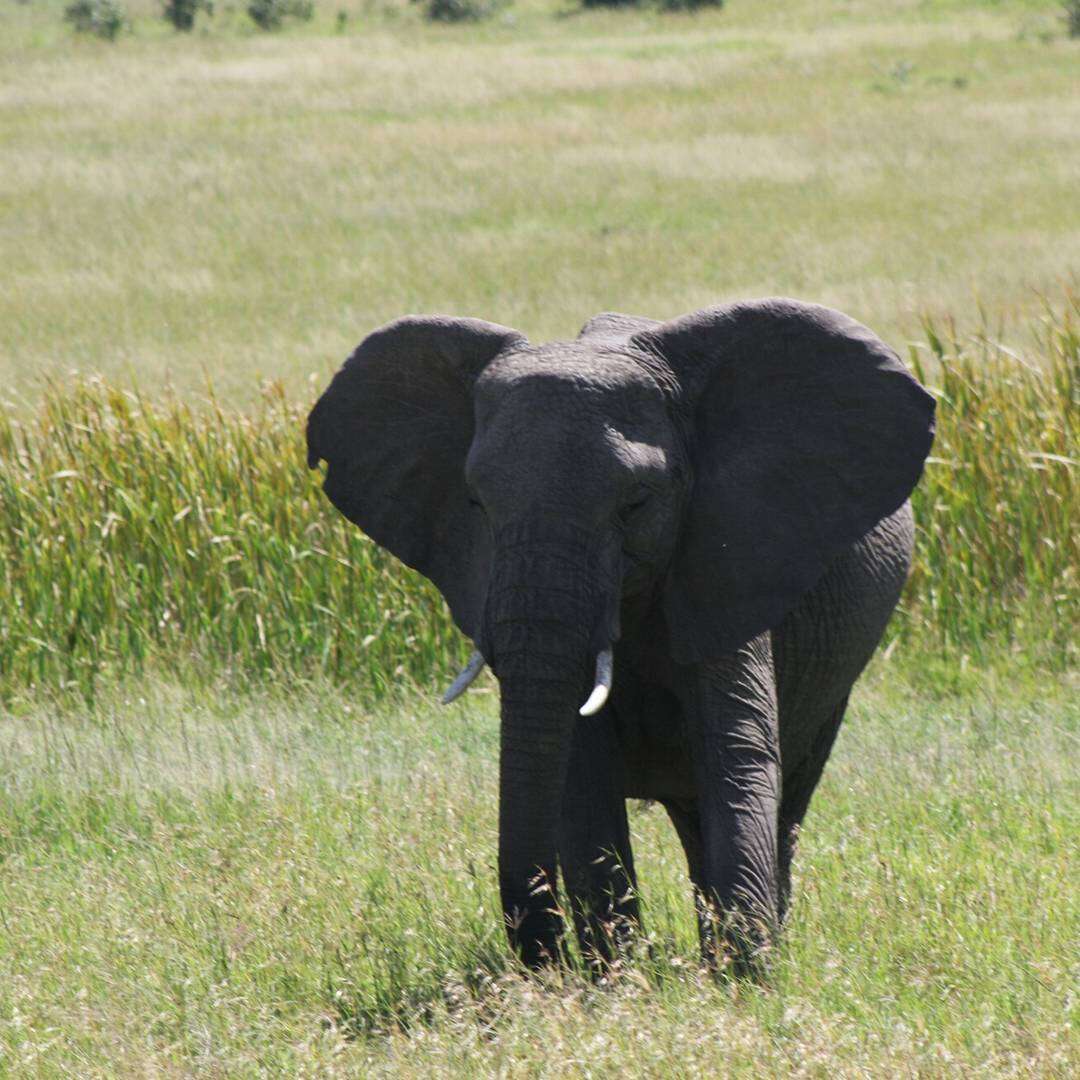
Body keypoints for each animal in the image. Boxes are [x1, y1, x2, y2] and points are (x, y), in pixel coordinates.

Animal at [306, 300, 937, 976]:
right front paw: (621, 980)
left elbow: (735, 748)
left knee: (788, 792)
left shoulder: (728, 554)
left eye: (635, 503)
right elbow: (581, 772)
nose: (545, 961)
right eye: (475, 502)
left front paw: (743, 979)